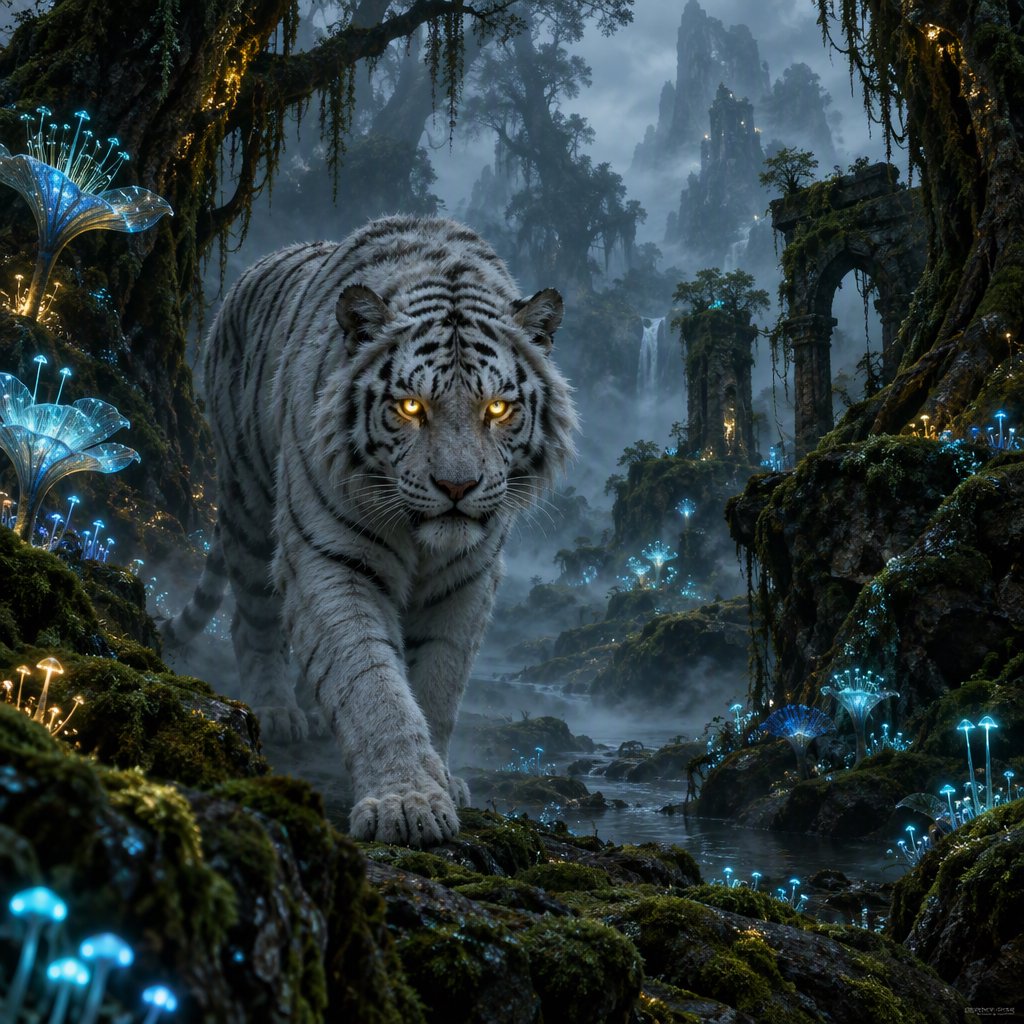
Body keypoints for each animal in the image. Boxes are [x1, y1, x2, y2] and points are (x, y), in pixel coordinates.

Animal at [161, 215, 577, 846]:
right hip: (249, 498)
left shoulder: (469, 578)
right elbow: (371, 682)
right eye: (410, 408)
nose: (457, 487)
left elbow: (438, 683)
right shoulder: (331, 558)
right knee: (250, 615)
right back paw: (276, 712)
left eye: (497, 410)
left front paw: (440, 778)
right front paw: (406, 801)